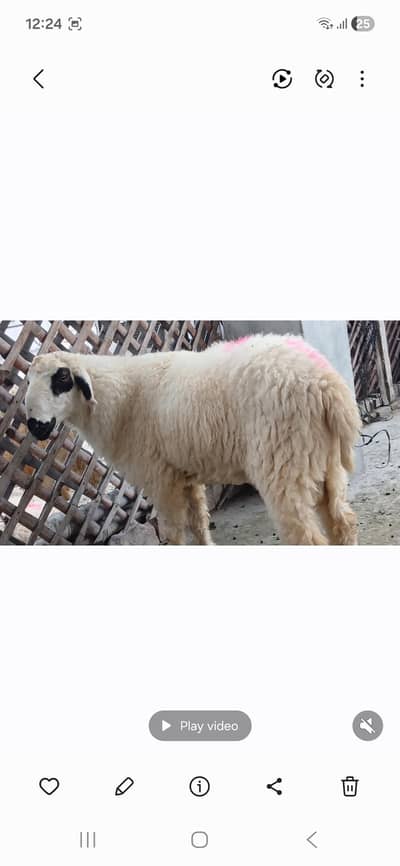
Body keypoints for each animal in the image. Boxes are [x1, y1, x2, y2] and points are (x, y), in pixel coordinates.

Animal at [24, 334, 360, 545]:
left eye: (62, 379)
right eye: (28, 380)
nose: (34, 426)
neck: (120, 399)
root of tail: (325, 383)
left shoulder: (160, 479)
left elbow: (174, 532)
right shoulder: (184, 475)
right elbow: (198, 524)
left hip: (283, 461)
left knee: (307, 537)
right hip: (324, 461)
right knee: (343, 523)